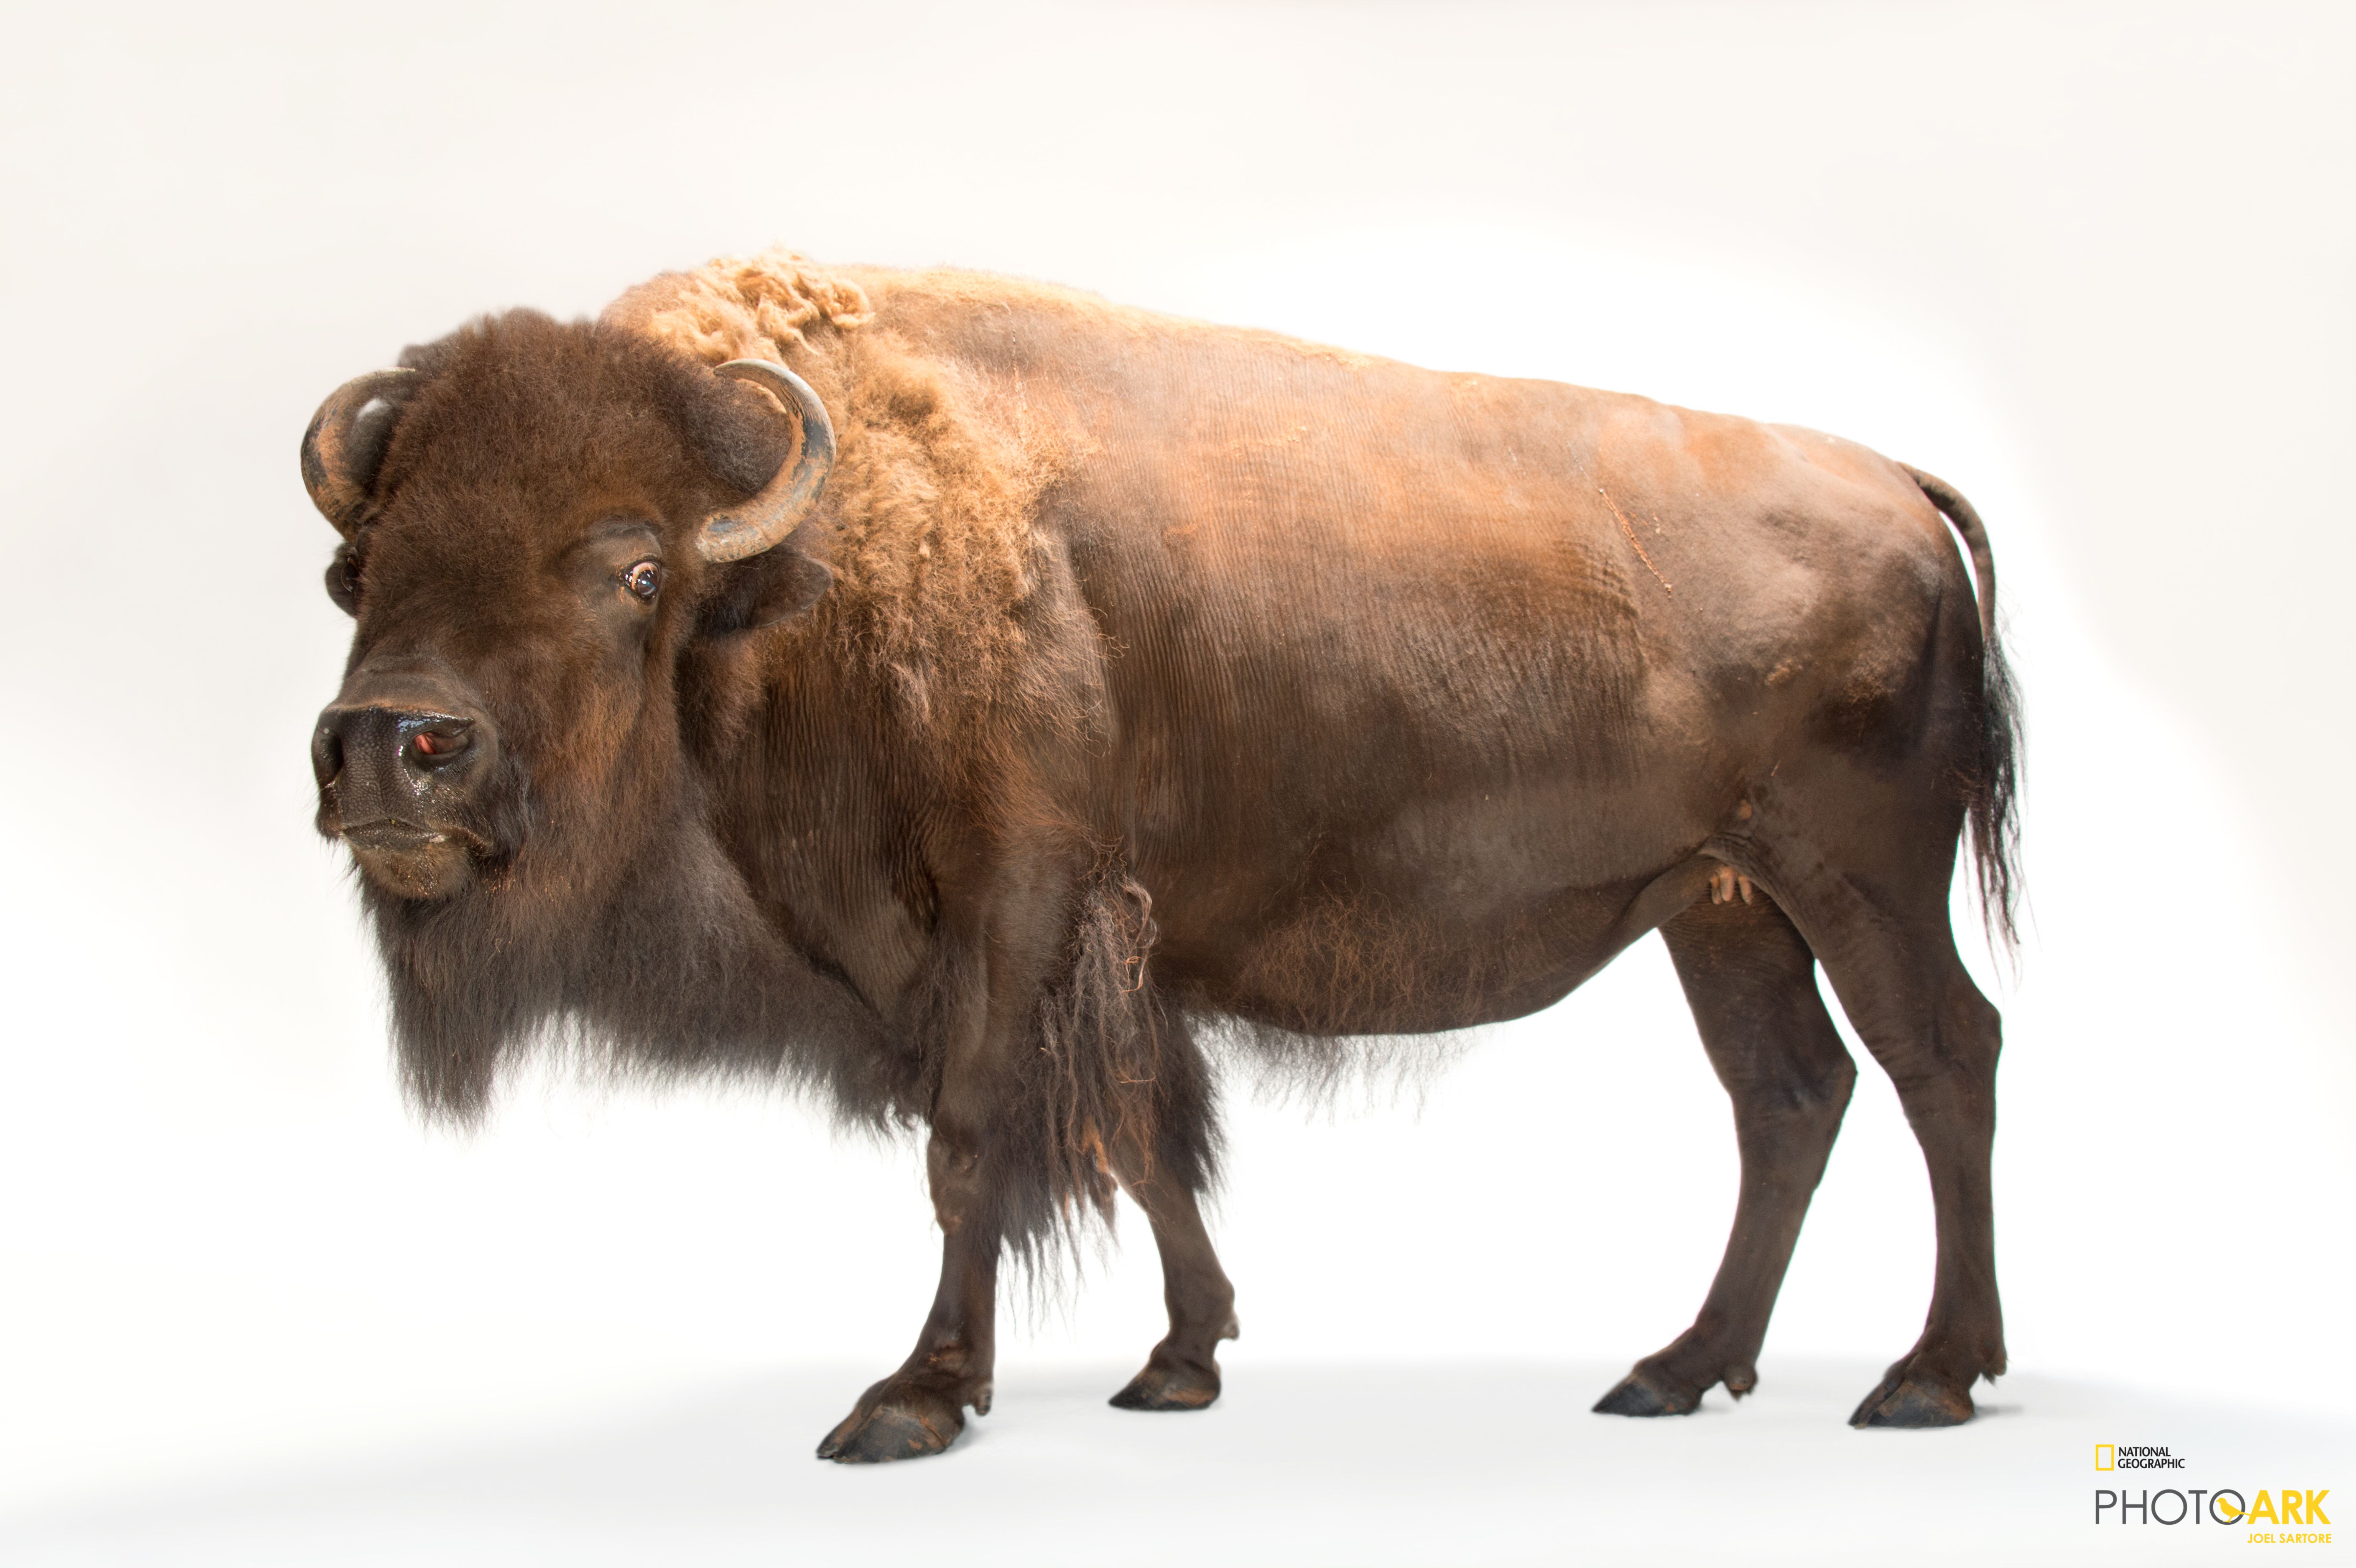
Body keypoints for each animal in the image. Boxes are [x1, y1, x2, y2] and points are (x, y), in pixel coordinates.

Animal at [302, 248, 2021, 1462]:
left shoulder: (1009, 900)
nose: (391, 744)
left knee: (1943, 1053)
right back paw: (1676, 1369)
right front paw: (1179, 1361)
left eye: (636, 568)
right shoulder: (1090, 948)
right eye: (360, 563)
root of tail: (1903, 486)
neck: (809, 559)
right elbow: (1138, 1132)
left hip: (1862, 876)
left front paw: (914, 1397)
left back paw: (1926, 1377)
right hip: (1722, 907)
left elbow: (976, 1137)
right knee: (1788, 1093)